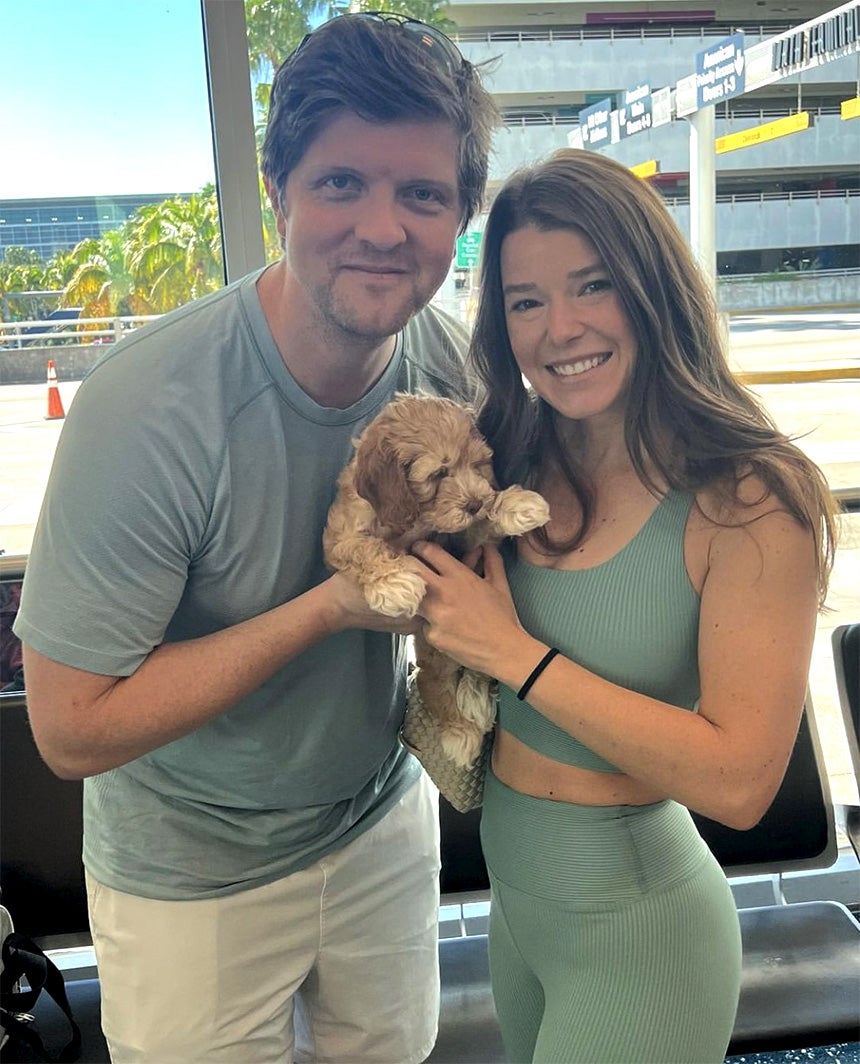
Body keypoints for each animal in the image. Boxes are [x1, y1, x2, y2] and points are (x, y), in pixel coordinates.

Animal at [323, 393, 550, 766]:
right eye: (439, 473)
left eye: (478, 464)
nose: (475, 502)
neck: (414, 518)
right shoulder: (339, 538)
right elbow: (363, 548)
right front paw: (394, 582)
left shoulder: (459, 540)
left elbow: (479, 527)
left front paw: (514, 506)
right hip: (431, 656)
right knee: (435, 686)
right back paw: (459, 731)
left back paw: (474, 697)